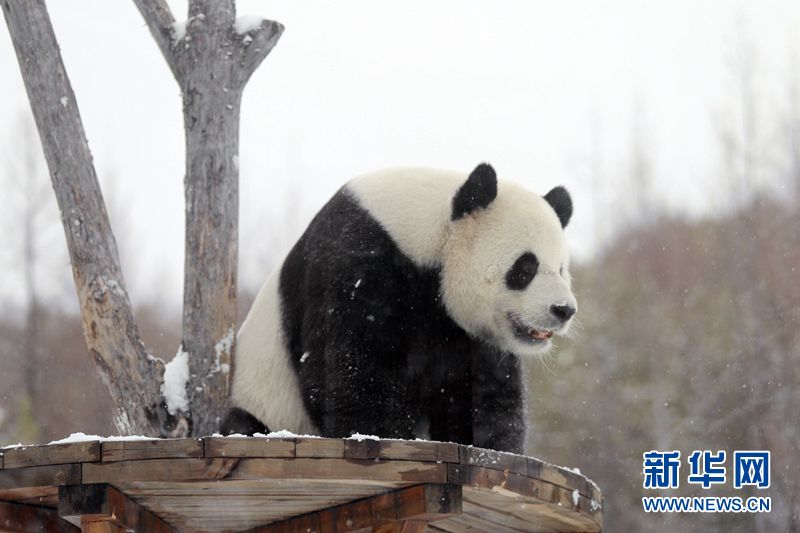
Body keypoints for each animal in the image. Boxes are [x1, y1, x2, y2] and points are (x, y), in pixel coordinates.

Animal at [222, 163, 580, 454]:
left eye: (561, 269)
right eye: (525, 268)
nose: (563, 310)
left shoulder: (465, 333)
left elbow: (480, 393)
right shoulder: (356, 263)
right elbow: (355, 371)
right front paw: (384, 435)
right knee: (241, 423)